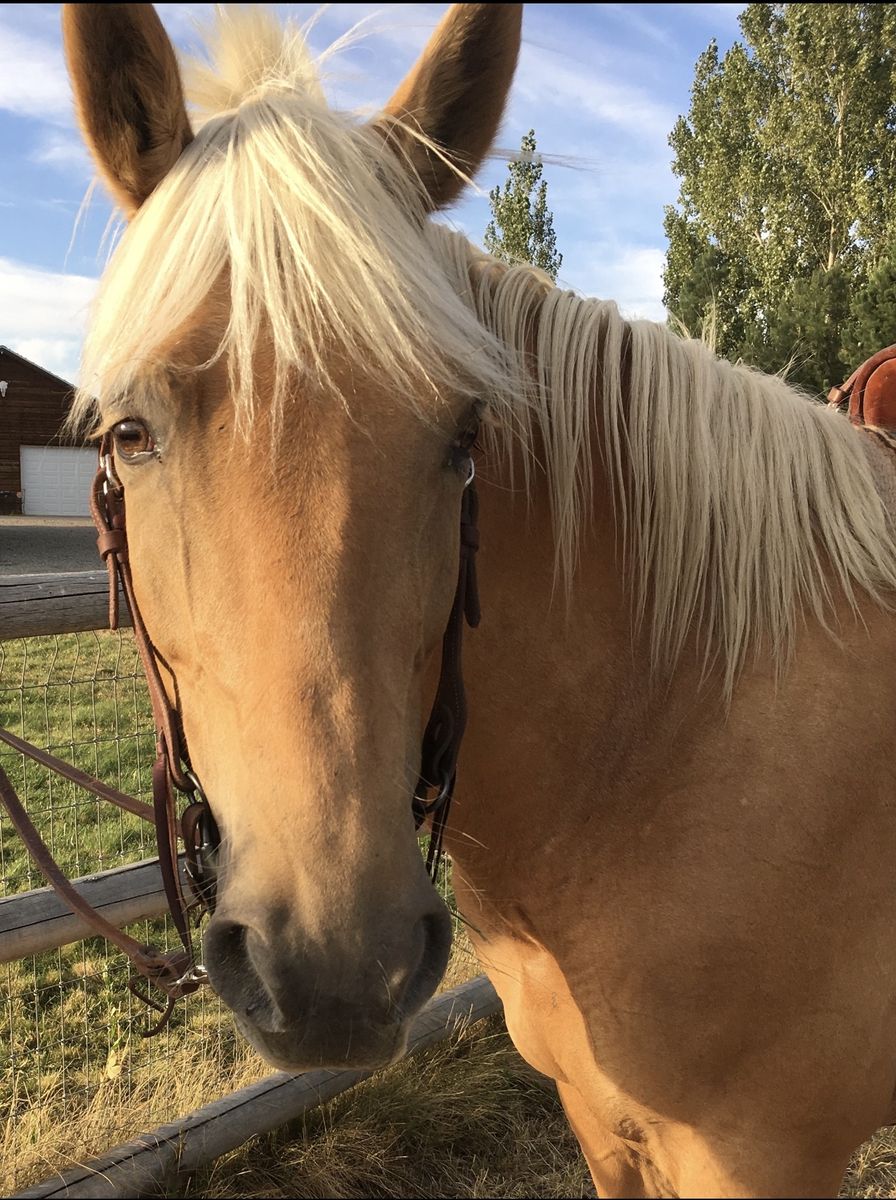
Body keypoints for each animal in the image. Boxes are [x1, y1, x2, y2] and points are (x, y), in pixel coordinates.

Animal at [60, 4, 896, 1196]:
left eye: (462, 438)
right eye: (128, 431)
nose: (335, 970)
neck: (666, 738)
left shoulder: (760, 1161)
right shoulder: (603, 1128)